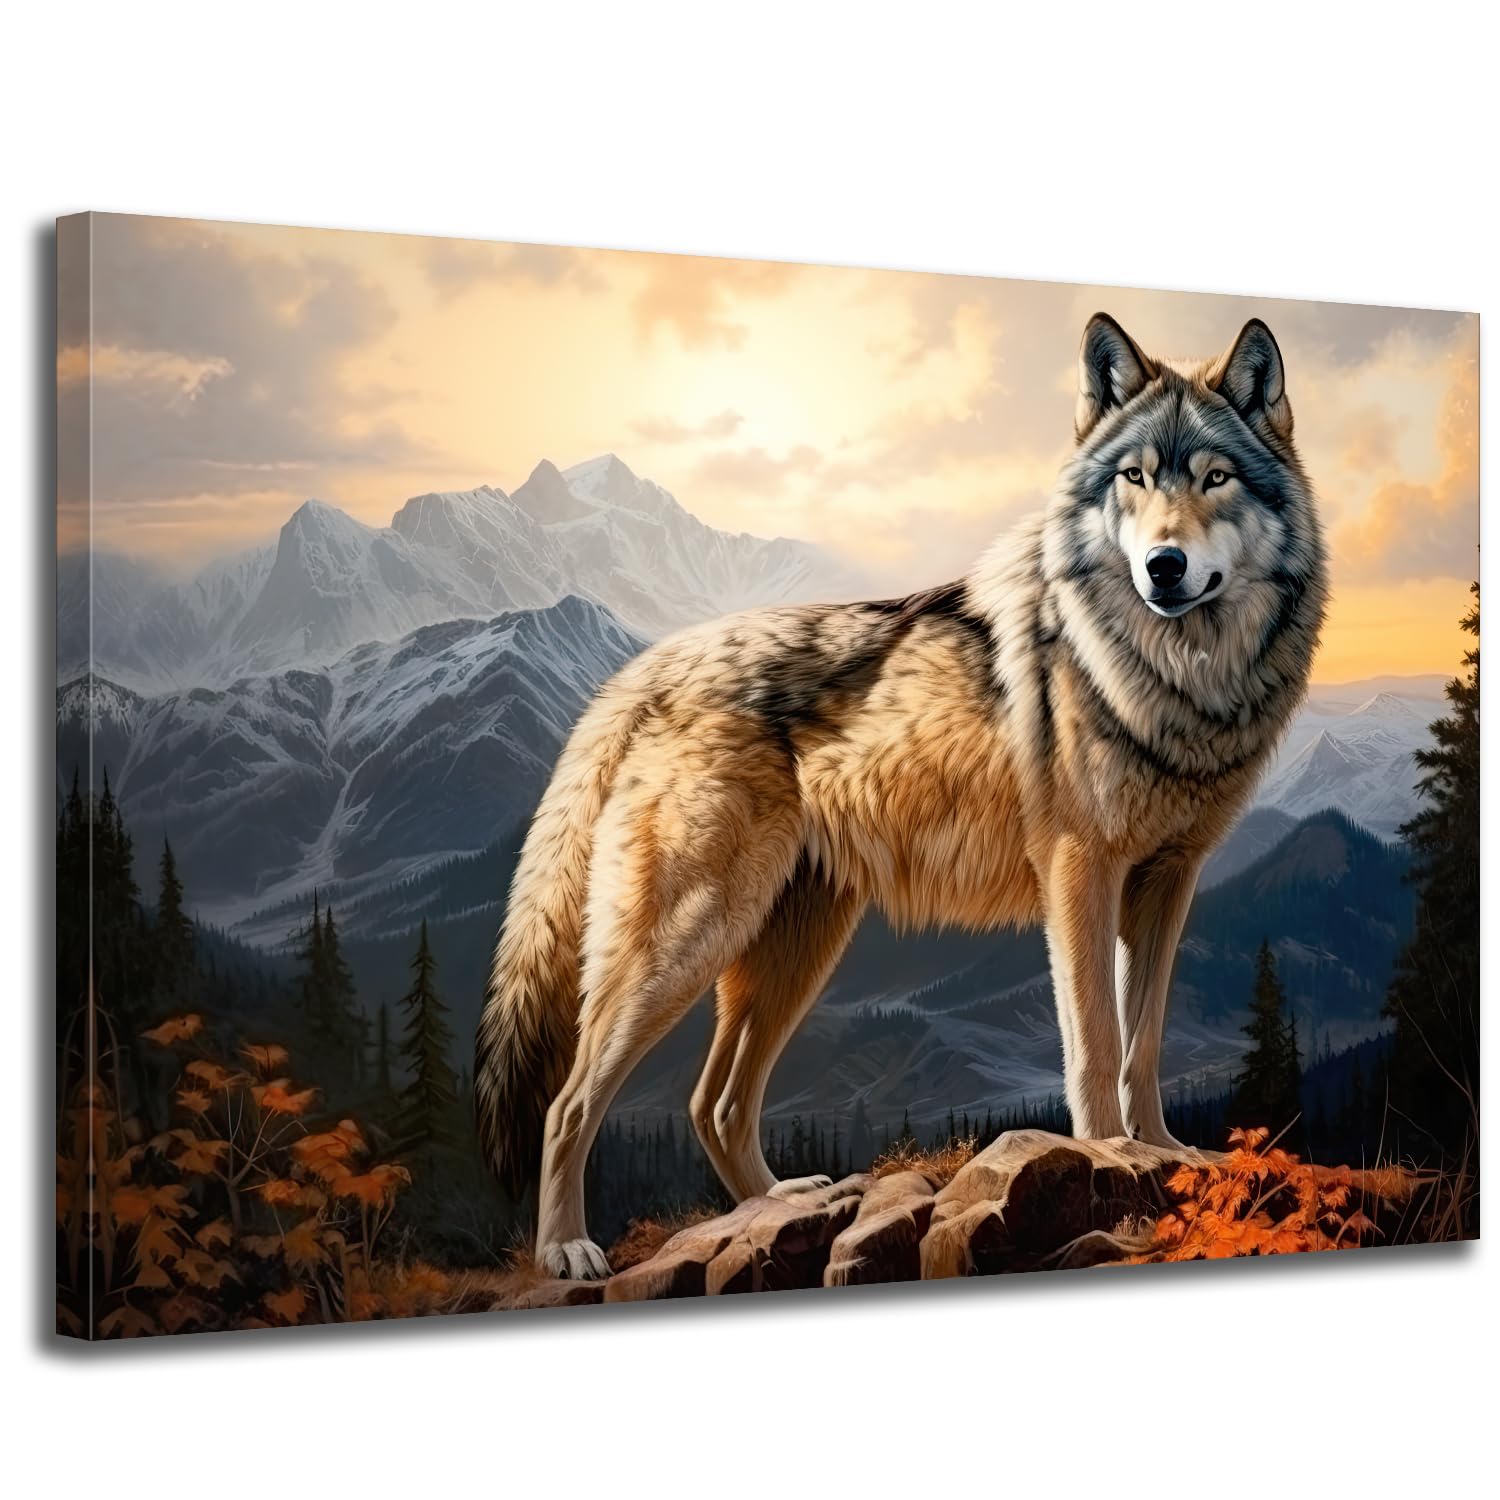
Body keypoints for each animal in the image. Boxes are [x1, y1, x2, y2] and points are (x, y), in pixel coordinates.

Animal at [475, 313, 1328, 1279]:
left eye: (1215, 479)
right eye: (1135, 479)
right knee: (570, 1102)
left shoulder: (1166, 881)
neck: (1176, 678)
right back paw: (568, 1248)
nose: (1165, 566)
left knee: (713, 1103)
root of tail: (640, 670)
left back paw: (780, 1205)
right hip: (690, 940)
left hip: (794, 947)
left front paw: (1163, 1154)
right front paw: (1112, 1154)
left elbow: (1142, 1044)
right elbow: (1095, 1043)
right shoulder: (1080, 872)